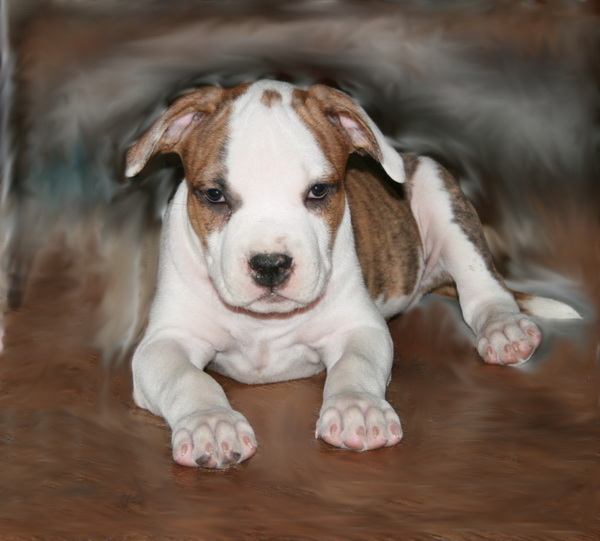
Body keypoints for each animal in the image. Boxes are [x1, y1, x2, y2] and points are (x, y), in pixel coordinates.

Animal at [125, 80, 580, 469]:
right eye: (214, 195)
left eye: (319, 191)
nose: (271, 264)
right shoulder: (163, 344)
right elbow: (188, 379)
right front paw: (212, 423)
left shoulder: (361, 328)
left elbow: (354, 367)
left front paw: (355, 409)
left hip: (441, 196)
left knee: (485, 289)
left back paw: (504, 329)